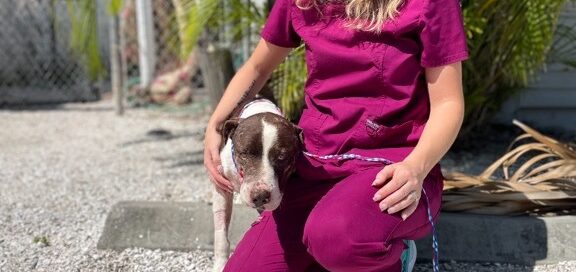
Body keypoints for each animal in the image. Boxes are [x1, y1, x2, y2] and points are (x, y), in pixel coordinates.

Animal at [212, 97, 302, 270]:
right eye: (245, 153)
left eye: (282, 157)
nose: (260, 196)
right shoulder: (220, 187)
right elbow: (220, 234)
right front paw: (220, 265)